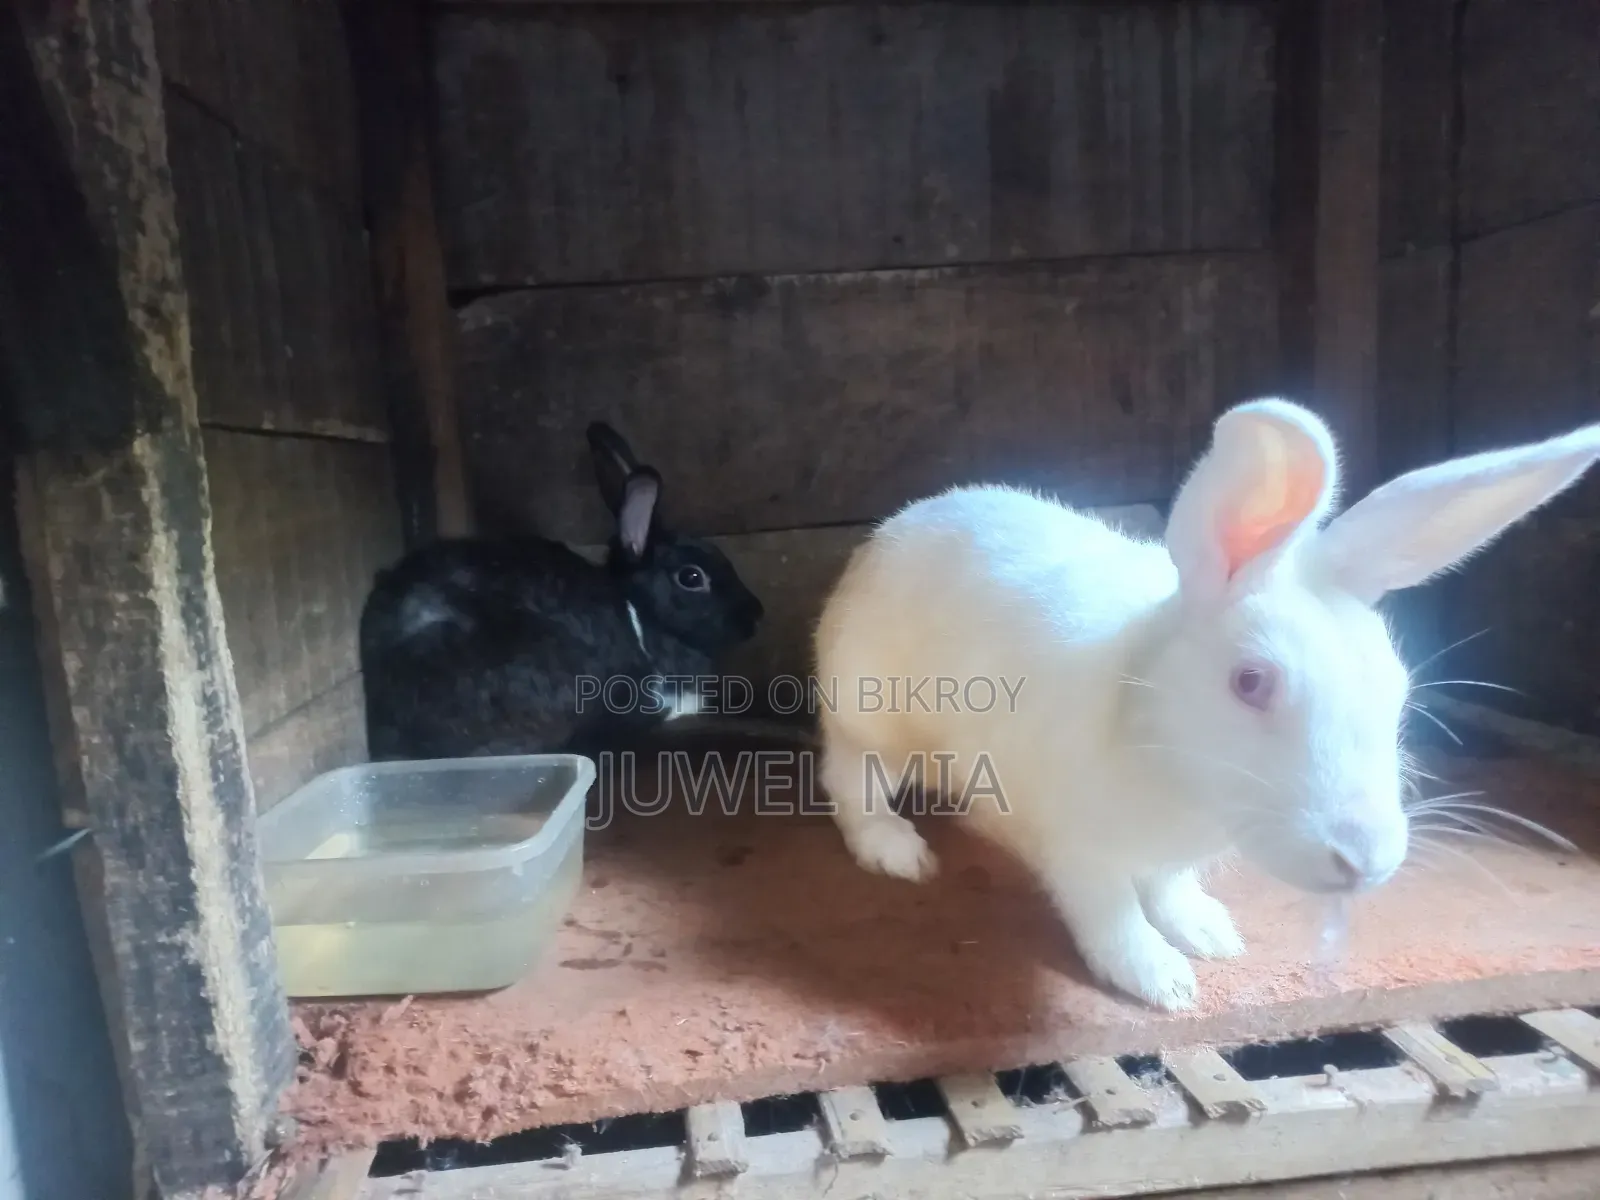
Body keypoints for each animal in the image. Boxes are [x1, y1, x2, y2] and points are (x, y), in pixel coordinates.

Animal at [812, 397, 1600, 1011]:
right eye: (1251, 682)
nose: (1366, 859)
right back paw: (898, 853)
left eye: (1397, 687)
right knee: (852, 781)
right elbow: (1109, 912)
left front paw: (1209, 935)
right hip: (870, 718)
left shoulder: (1166, 857)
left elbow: (1167, 890)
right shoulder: (1078, 846)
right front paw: (1162, 981)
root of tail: (885, 537)